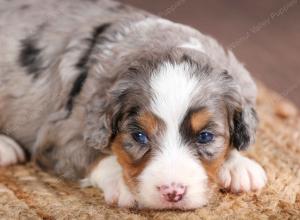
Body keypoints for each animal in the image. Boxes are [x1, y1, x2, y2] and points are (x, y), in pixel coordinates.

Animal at [0, 0, 268, 210]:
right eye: (139, 136)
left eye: (205, 136)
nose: (173, 193)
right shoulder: (59, 134)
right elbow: (96, 156)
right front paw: (123, 184)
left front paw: (239, 167)